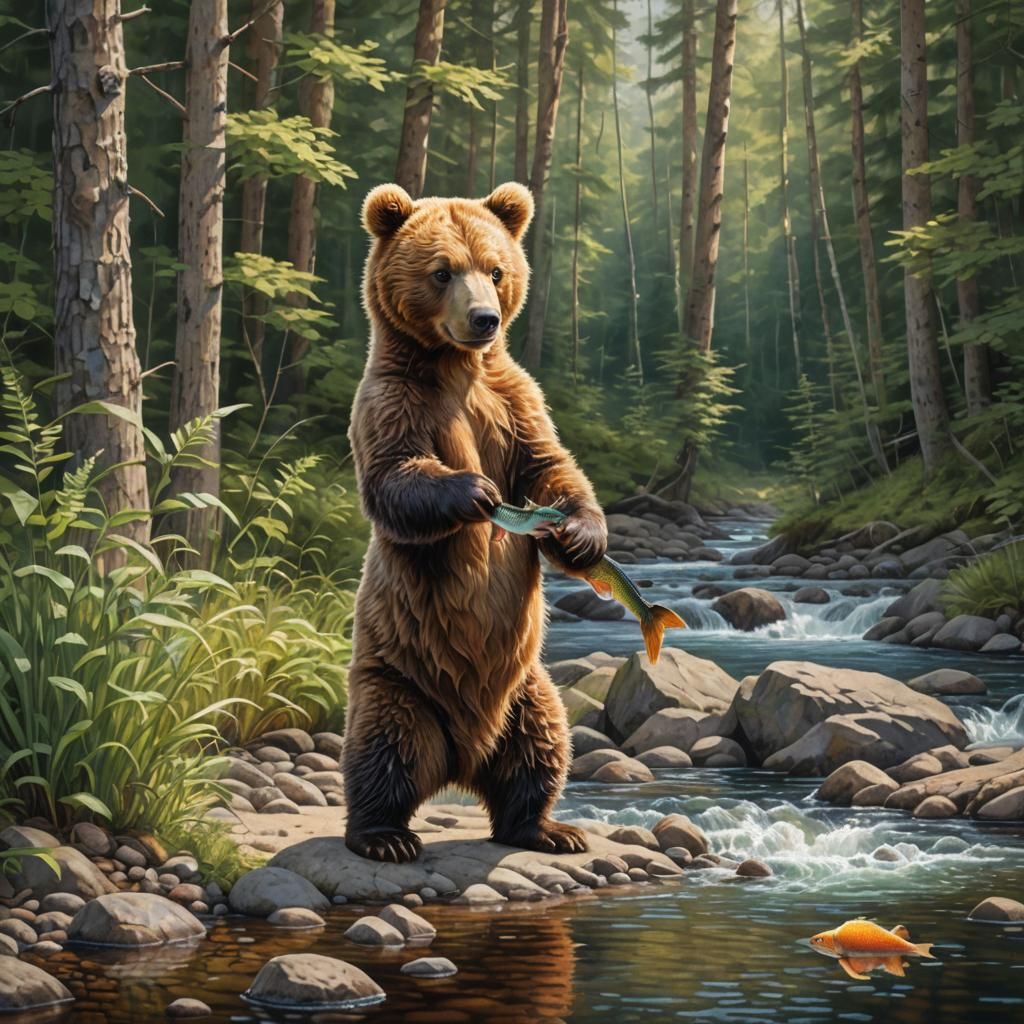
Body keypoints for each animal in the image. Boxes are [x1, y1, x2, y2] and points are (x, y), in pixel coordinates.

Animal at [343, 181, 608, 864]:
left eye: (495, 269)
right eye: (442, 271)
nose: (485, 318)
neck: (453, 364)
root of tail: (461, 760)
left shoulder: (516, 401)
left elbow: (551, 465)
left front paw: (579, 533)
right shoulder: (392, 399)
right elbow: (395, 474)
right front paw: (476, 491)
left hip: (527, 686)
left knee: (541, 748)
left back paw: (549, 828)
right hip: (399, 679)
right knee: (385, 748)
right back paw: (384, 836)